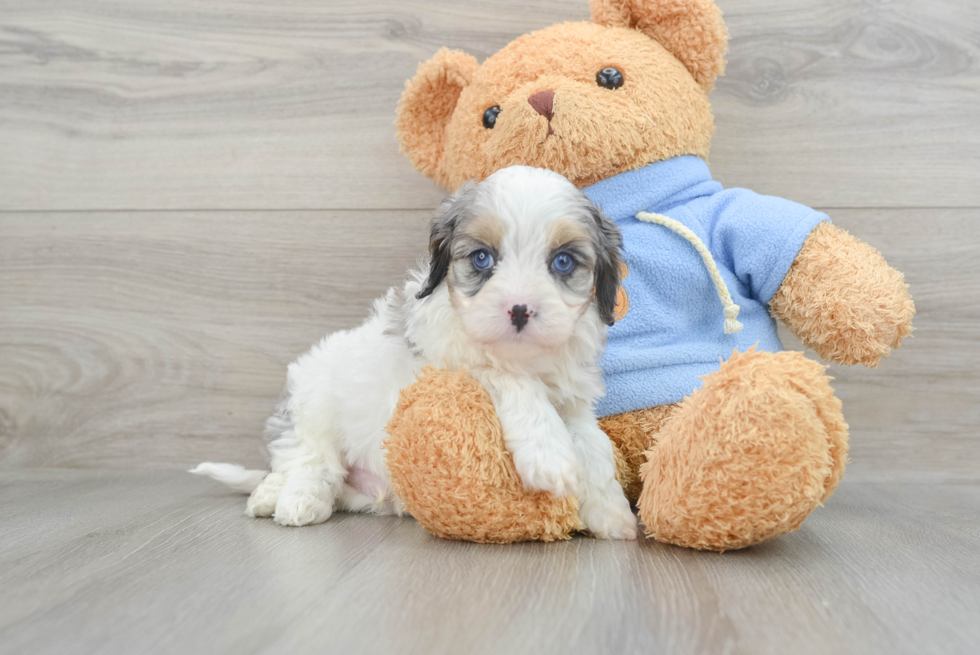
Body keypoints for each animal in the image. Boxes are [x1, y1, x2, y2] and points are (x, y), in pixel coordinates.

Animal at [193, 167, 636, 540]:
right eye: (482, 258)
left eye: (563, 261)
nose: (520, 310)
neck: (523, 355)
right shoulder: (446, 362)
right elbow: (509, 378)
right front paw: (550, 456)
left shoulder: (574, 400)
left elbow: (594, 445)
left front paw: (610, 510)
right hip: (313, 397)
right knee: (308, 459)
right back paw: (290, 500)